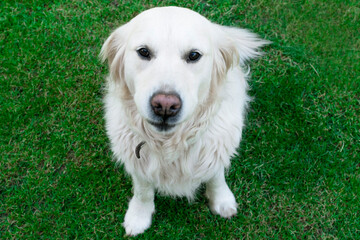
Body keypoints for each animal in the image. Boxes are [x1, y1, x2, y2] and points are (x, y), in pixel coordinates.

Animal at [100, 6, 268, 235]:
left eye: (194, 55)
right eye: (144, 52)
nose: (165, 105)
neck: (170, 142)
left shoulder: (216, 148)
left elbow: (216, 176)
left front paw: (222, 201)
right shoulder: (136, 162)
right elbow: (143, 189)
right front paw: (138, 216)